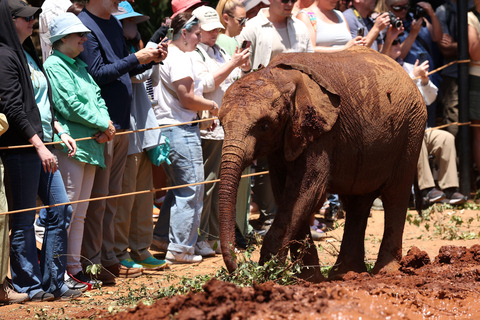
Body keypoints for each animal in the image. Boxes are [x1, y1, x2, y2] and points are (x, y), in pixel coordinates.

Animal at [218, 46, 428, 282]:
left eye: (264, 126)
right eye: (220, 124)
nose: (237, 269)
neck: (281, 75)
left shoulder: (321, 134)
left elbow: (306, 191)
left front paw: (270, 275)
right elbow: (286, 194)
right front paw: (308, 279)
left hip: (411, 128)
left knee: (395, 195)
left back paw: (385, 271)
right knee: (357, 202)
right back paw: (346, 273)